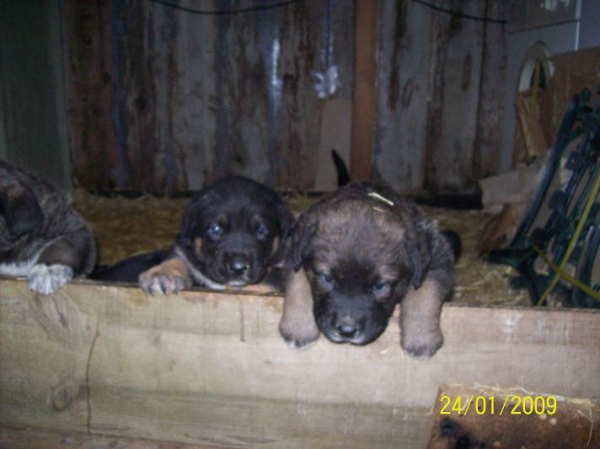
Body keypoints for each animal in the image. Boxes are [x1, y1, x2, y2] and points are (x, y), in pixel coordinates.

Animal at [137, 175, 296, 294]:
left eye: (261, 230)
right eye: (215, 229)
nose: (238, 267)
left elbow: (273, 279)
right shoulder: (184, 249)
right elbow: (178, 259)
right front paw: (162, 275)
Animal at [278, 180, 458, 358]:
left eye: (380, 285)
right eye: (328, 278)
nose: (347, 331)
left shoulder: (437, 259)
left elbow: (424, 296)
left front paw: (421, 339)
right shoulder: (292, 252)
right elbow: (298, 283)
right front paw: (298, 327)